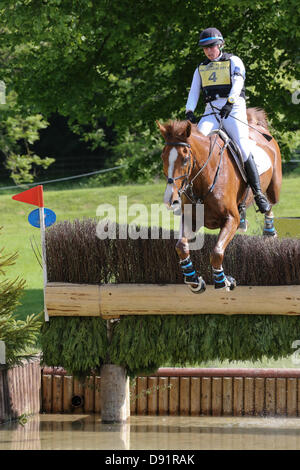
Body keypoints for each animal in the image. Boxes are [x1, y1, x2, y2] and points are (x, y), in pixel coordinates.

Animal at [157, 109, 282, 294]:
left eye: (185, 159)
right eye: (163, 157)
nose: (169, 200)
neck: (204, 177)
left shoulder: (231, 219)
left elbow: (216, 252)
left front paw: (224, 280)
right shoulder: (190, 219)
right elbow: (181, 246)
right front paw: (193, 279)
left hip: (274, 187)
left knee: (269, 203)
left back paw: (269, 231)